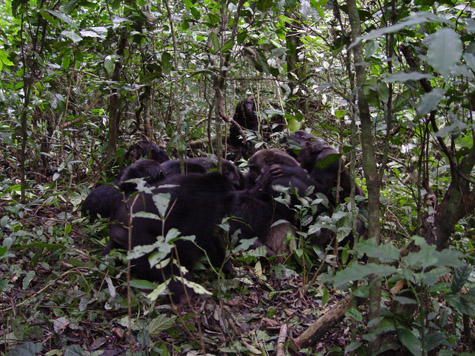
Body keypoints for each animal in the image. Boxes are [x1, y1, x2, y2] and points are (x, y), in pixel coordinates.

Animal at [107, 172, 235, 298]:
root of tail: (115, 228)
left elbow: (209, 240)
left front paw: (226, 266)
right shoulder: (204, 210)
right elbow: (188, 242)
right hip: (138, 243)